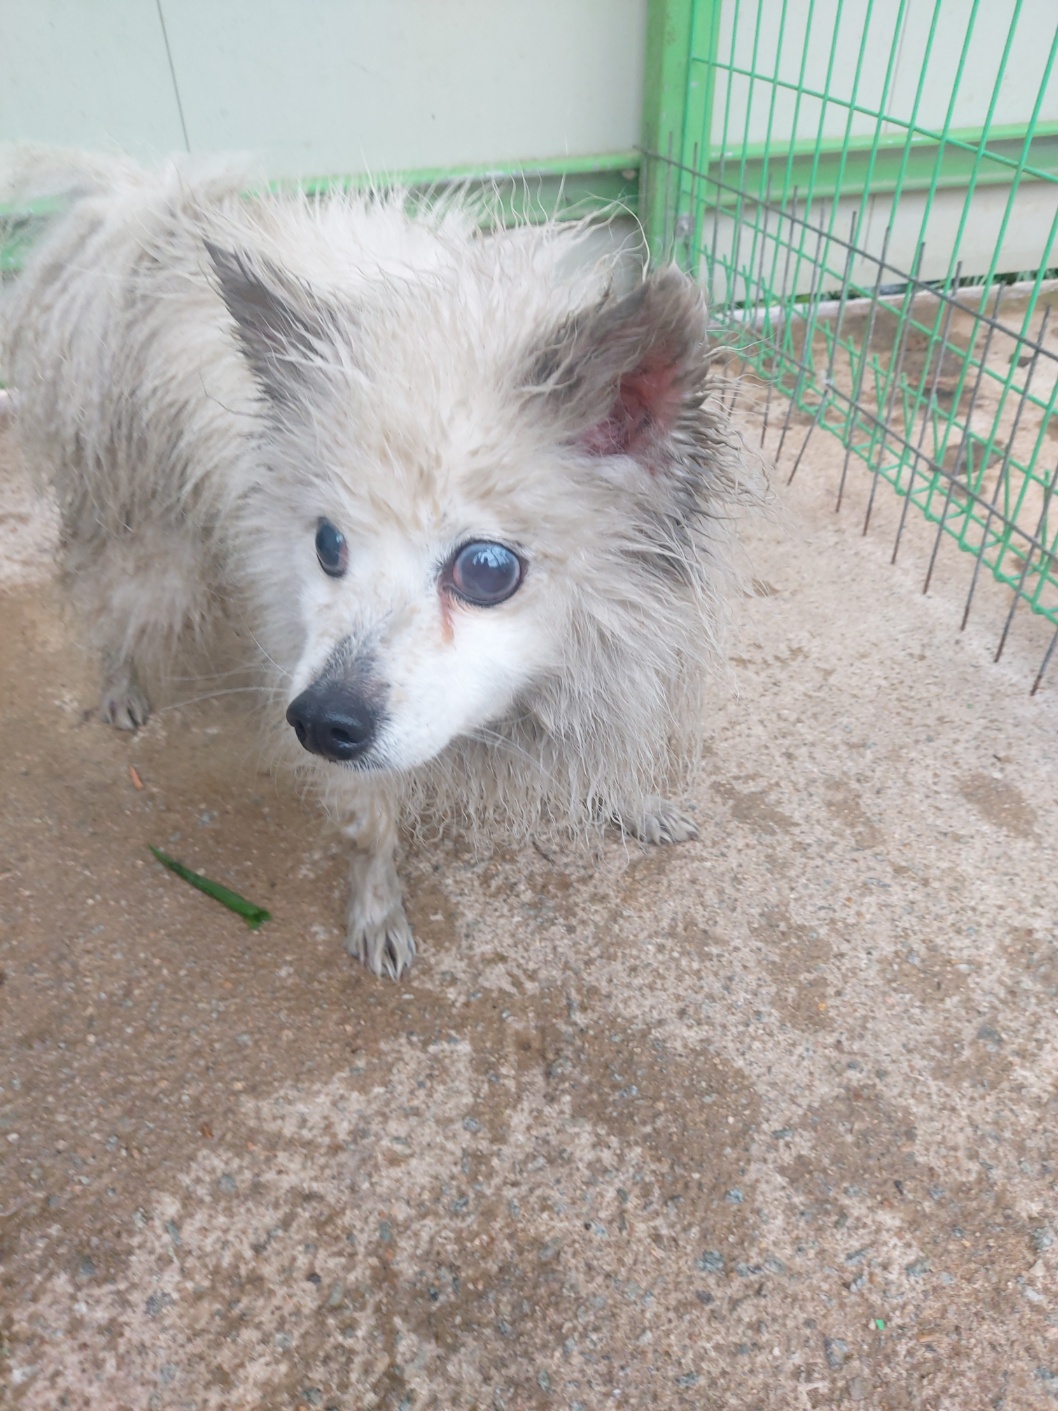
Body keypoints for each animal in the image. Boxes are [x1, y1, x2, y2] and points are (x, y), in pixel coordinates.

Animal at [2, 148, 761, 976]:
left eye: (487, 568)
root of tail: (160, 226)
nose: (317, 722)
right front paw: (377, 913)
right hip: (158, 555)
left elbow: (621, 745)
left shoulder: (635, 648)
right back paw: (120, 687)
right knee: (113, 604)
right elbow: (370, 830)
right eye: (328, 544)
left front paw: (637, 803)